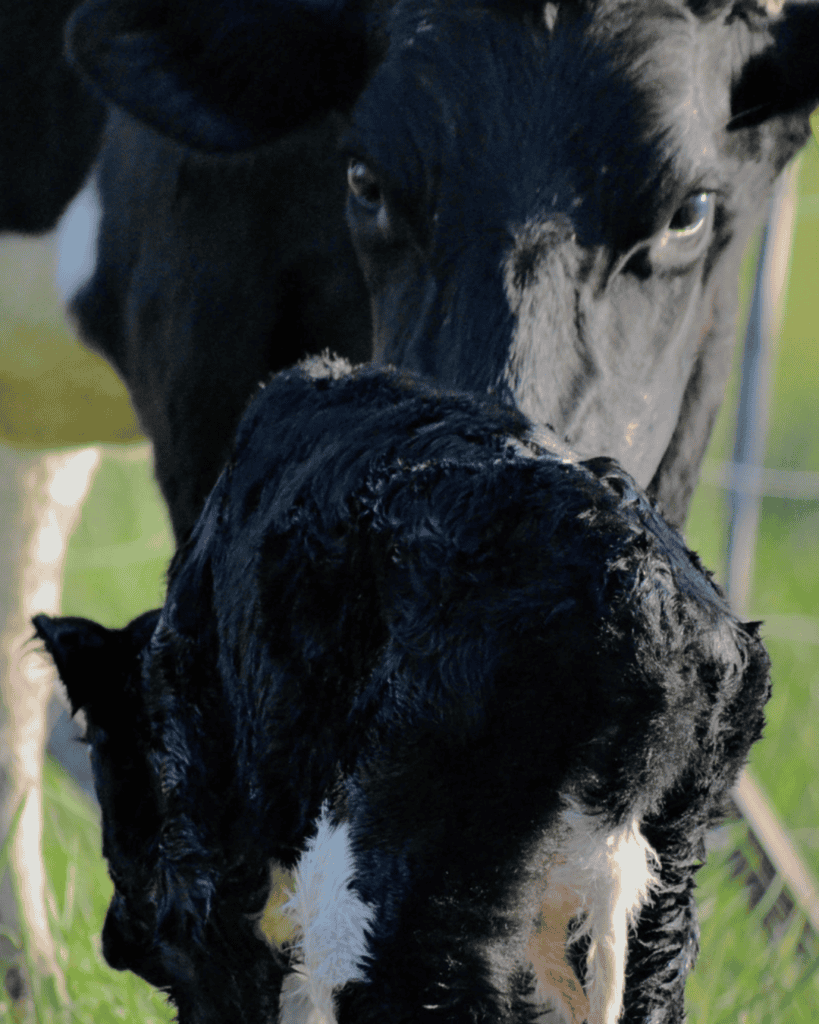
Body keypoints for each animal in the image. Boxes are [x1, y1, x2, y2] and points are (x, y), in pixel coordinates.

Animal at [34, 358, 772, 1024]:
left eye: (106, 761)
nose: (113, 942)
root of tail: (648, 596)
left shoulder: (205, 880)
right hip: (658, 901)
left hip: (397, 899)